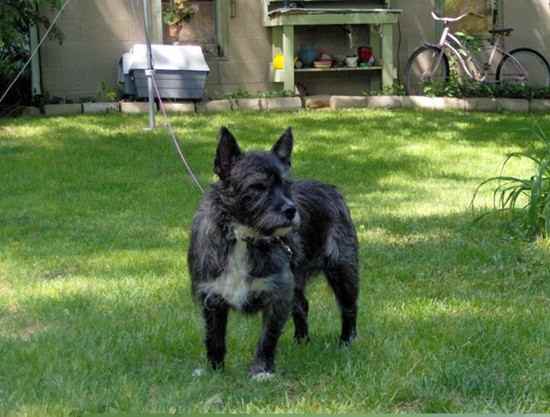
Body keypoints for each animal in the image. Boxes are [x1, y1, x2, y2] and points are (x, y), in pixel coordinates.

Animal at [189, 126, 362, 376]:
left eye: (287, 184)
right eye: (257, 187)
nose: (291, 210)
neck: (244, 236)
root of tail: (331, 188)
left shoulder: (278, 292)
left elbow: (267, 337)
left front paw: (262, 370)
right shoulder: (212, 295)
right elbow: (214, 337)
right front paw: (214, 369)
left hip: (342, 270)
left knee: (348, 307)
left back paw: (347, 341)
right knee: (301, 305)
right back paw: (302, 341)